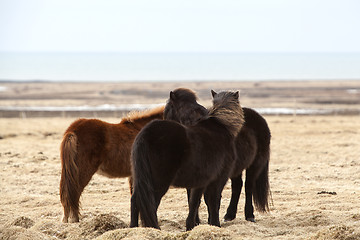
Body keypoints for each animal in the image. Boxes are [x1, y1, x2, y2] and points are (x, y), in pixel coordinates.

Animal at [130, 88, 245, 231]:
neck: (222, 126)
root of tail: (145, 134)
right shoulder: (219, 178)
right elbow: (214, 202)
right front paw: (215, 224)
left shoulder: (200, 181)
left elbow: (195, 202)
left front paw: (191, 226)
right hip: (158, 183)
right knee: (150, 203)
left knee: (135, 200)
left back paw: (133, 228)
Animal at [163, 87, 270, 223]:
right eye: (183, 107)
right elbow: (193, 198)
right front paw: (197, 222)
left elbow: (209, 198)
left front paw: (211, 222)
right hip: (236, 169)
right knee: (237, 186)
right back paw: (229, 215)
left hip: (255, 164)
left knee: (248, 186)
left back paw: (249, 215)